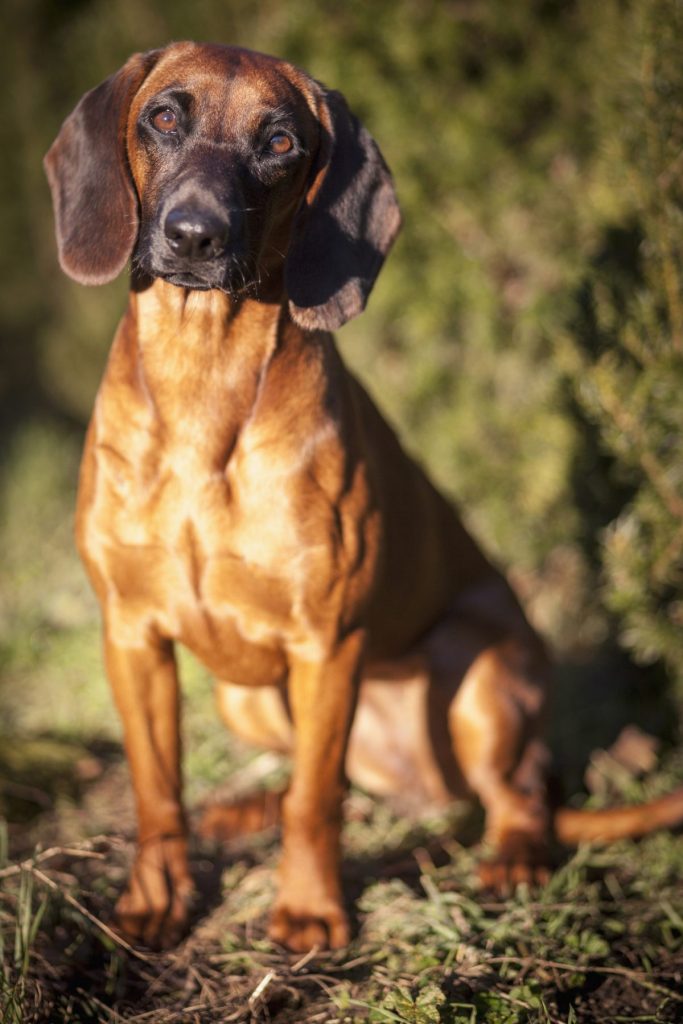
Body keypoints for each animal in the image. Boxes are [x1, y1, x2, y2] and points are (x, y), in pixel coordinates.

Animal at [42, 39, 683, 950]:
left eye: (280, 142)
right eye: (163, 116)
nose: (196, 235)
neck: (204, 384)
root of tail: (423, 789)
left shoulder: (326, 643)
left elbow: (317, 801)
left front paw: (310, 909)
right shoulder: (132, 636)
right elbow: (157, 791)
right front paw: (156, 899)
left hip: (479, 670)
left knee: (510, 794)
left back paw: (513, 856)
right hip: (246, 696)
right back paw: (241, 810)